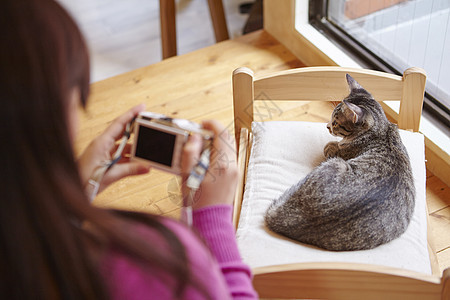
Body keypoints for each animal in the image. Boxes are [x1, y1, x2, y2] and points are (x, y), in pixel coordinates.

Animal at [264, 73, 414, 251]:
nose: (327, 126)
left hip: (334, 163)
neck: (381, 131)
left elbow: (329, 147)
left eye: (335, 122)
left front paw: (332, 144)